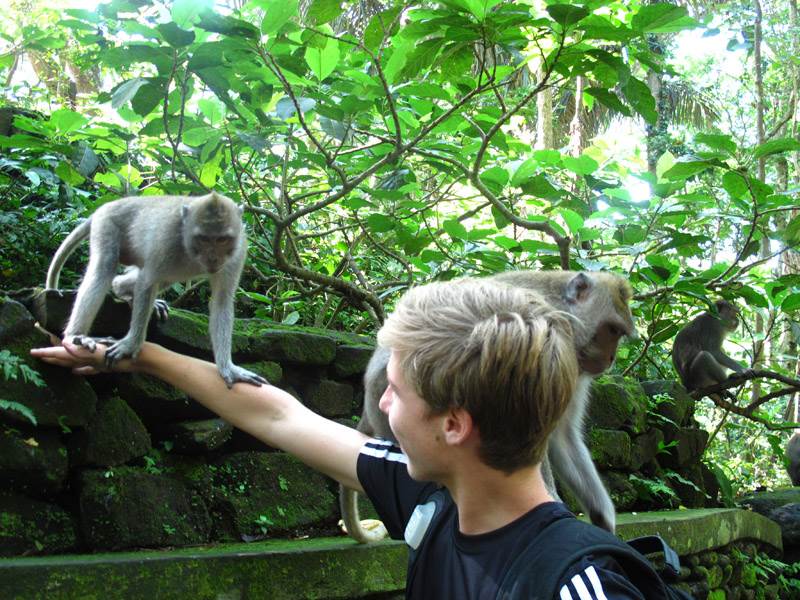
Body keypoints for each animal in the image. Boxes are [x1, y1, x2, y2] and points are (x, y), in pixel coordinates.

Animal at [45, 191, 267, 389]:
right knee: (104, 267)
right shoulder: (165, 242)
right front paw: (131, 345)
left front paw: (227, 367)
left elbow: (222, 301)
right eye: (203, 238)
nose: (213, 259)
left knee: (161, 279)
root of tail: (110, 204)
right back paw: (76, 335)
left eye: (222, 239)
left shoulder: (237, 253)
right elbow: (147, 281)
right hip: (107, 224)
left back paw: (121, 289)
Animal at [340, 270, 635, 542]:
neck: (565, 309)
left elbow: (562, 436)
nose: (611, 357)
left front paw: (603, 517)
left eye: (620, 333)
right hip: (389, 400)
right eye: (612, 330)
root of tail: (368, 403)